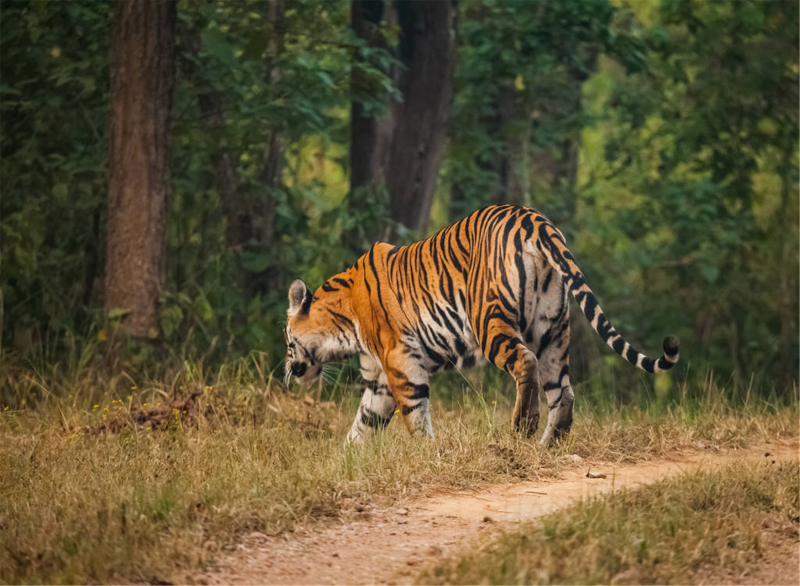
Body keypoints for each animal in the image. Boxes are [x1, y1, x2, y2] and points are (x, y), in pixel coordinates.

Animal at [284, 204, 680, 442]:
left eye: (288, 342)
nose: (288, 370)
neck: (344, 325)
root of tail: (535, 219)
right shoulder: (379, 378)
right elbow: (362, 424)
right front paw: (345, 462)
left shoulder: (399, 362)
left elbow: (415, 414)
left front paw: (426, 452)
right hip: (552, 328)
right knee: (563, 391)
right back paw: (549, 445)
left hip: (488, 321)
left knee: (525, 363)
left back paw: (522, 427)